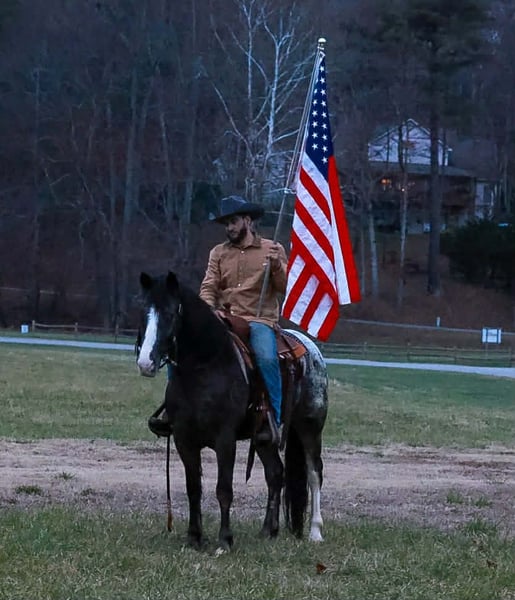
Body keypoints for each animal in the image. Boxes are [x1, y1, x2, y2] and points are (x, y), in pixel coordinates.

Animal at [136, 271, 328, 550]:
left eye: (171, 313)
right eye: (143, 311)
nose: (146, 362)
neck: (207, 367)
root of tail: (310, 349)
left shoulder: (225, 439)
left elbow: (223, 489)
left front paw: (224, 540)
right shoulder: (184, 439)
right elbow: (193, 488)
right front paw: (194, 537)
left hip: (310, 427)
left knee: (314, 474)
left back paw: (315, 532)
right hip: (264, 439)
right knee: (276, 474)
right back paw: (269, 530)